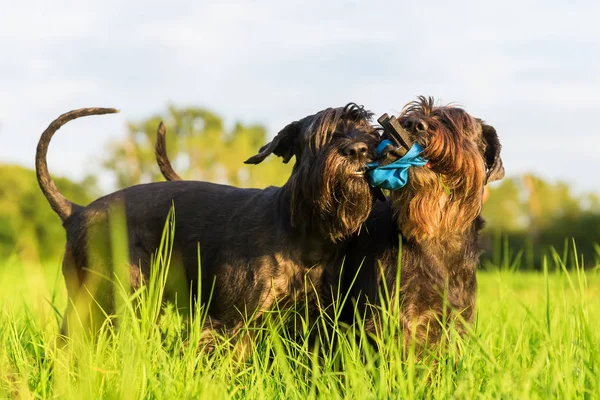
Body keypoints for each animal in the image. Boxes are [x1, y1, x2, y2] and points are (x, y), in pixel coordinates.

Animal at [37, 104, 382, 352]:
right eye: (323, 135)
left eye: (372, 133)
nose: (358, 150)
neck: (302, 229)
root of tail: (76, 212)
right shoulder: (231, 322)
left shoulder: (313, 320)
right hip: (114, 299)